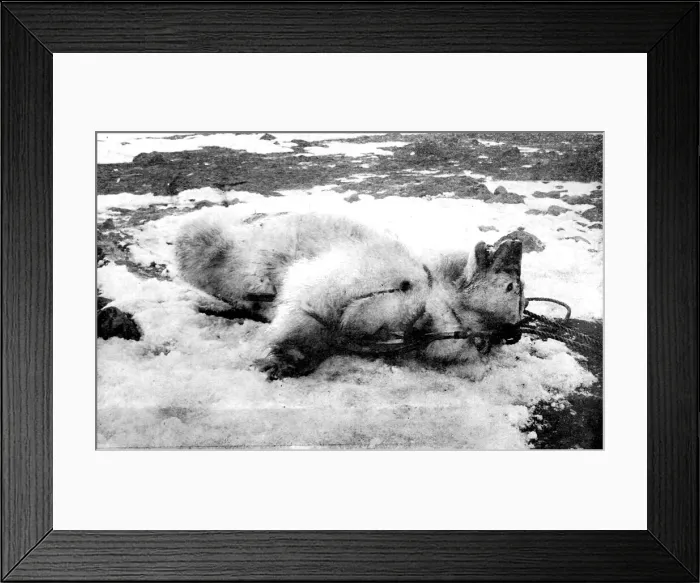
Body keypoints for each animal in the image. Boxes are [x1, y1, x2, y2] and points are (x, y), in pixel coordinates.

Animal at [175, 212, 524, 379]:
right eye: (514, 286)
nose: (517, 243)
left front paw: (288, 359)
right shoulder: (381, 270)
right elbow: (316, 297)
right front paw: (281, 358)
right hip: (233, 244)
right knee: (201, 243)